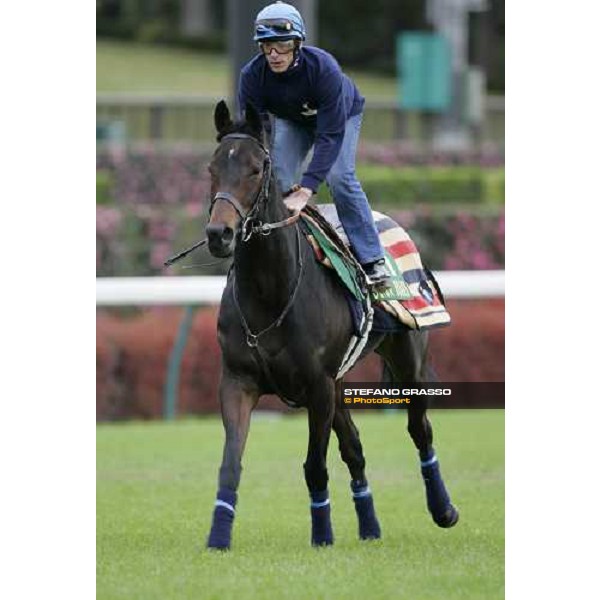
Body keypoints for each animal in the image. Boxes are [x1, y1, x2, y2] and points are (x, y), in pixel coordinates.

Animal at [204, 101, 458, 552]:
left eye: (256, 169)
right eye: (212, 167)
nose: (220, 234)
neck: (270, 293)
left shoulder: (318, 385)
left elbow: (314, 466)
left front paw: (321, 534)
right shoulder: (238, 380)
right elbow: (231, 462)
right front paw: (218, 537)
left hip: (407, 361)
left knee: (420, 429)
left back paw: (443, 509)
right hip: (339, 383)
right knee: (355, 446)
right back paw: (370, 526)